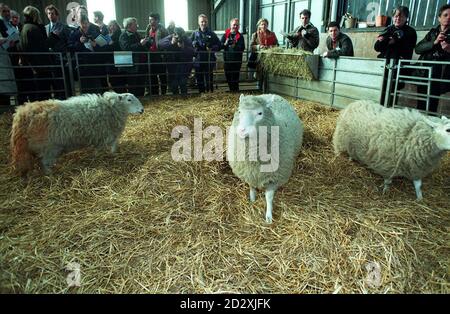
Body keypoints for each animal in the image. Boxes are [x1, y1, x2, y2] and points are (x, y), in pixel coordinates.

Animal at [10, 91, 144, 175]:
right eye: (129, 100)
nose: (142, 110)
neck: (111, 109)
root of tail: (22, 114)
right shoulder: (103, 134)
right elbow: (108, 146)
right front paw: (108, 154)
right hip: (48, 146)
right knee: (45, 162)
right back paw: (51, 173)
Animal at [227, 93, 304, 223]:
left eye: (260, 113)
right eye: (239, 111)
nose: (242, 130)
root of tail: (272, 94)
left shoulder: (274, 177)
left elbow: (269, 197)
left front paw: (268, 216)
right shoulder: (249, 172)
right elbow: (251, 187)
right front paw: (252, 199)